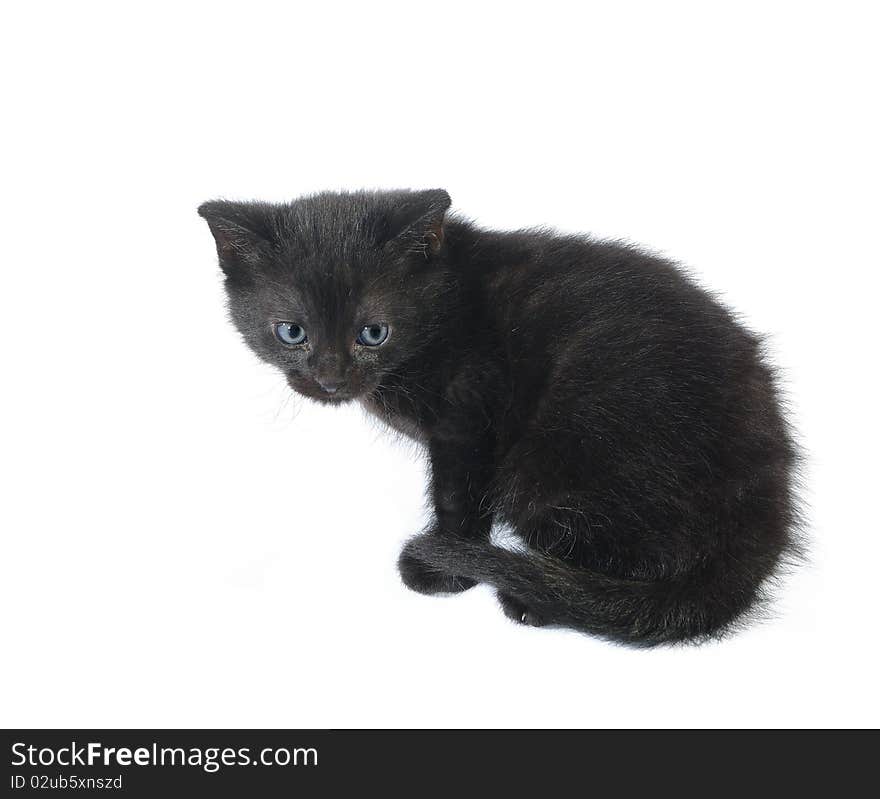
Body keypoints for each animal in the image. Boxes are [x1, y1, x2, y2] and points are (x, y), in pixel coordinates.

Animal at [198, 191, 796, 648]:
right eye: (291, 332)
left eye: (373, 333)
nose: (329, 378)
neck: (445, 304)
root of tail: (759, 527)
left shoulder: (469, 415)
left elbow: (458, 496)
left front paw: (446, 570)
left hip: (552, 465)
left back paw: (532, 597)